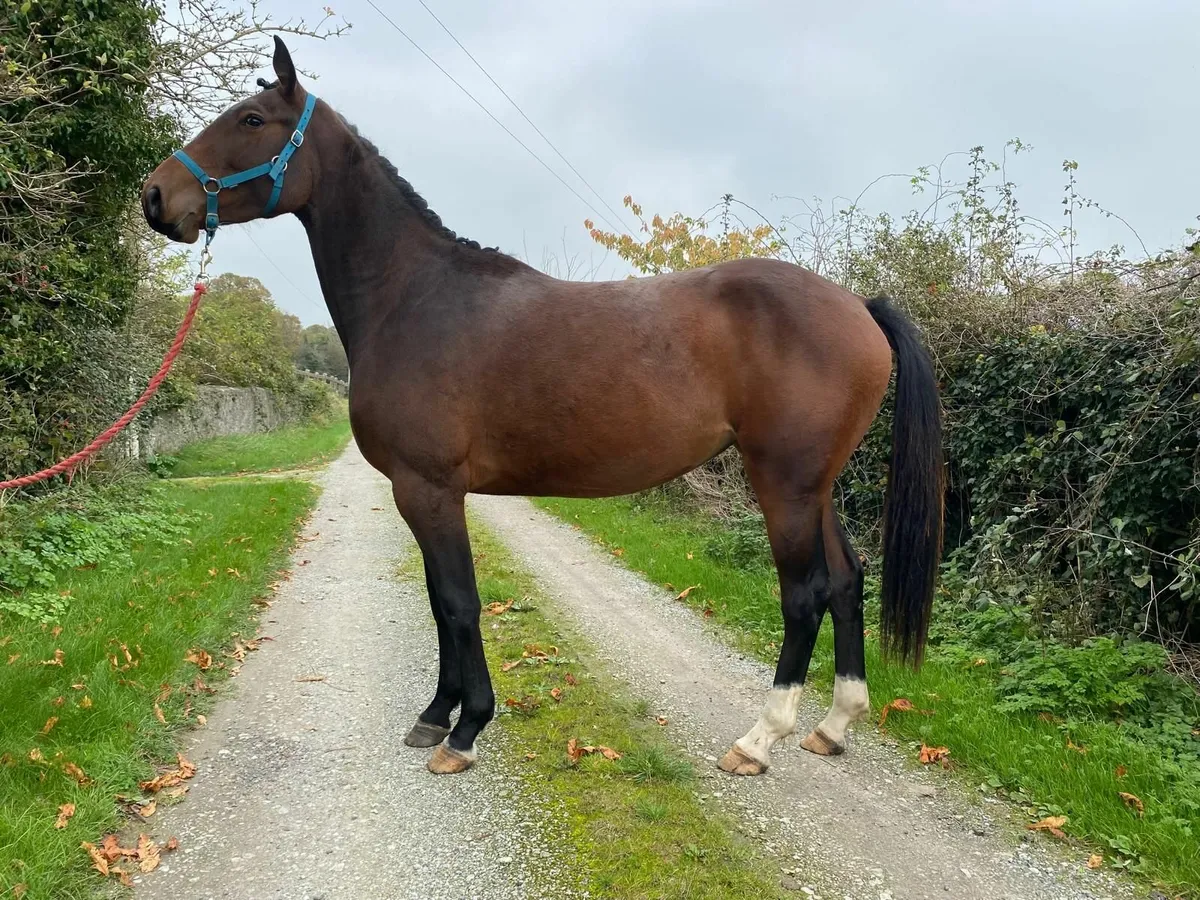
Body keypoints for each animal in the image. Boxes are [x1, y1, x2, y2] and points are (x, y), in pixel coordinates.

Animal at [142, 37, 944, 776]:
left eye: (251, 119)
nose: (155, 197)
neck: (413, 298)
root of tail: (859, 308)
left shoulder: (429, 488)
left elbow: (458, 602)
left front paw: (466, 730)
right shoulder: (420, 492)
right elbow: (437, 599)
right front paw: (436, 714)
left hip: (783, 482)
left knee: (806, 594)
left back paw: (758, 739)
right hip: (816, 484)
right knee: (847, 581)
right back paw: (832, 726)